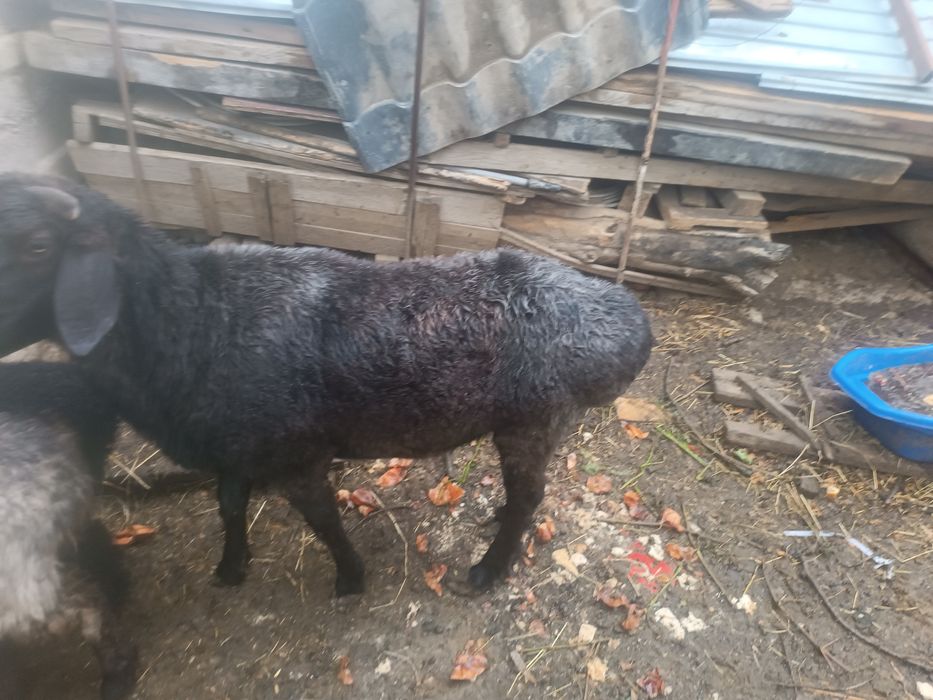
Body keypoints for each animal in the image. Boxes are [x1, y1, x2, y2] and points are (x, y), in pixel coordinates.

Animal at [0, 173, 653, 595]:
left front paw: (349, 580)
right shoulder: (236, 447)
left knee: (529, 496)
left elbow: (323, 521)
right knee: (523, 494)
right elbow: (228, 505)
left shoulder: (296, 456)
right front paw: (231, 568)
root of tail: (629, 321)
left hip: (534, 418)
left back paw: (488, 570)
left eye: (38, 247)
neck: (200, 321)